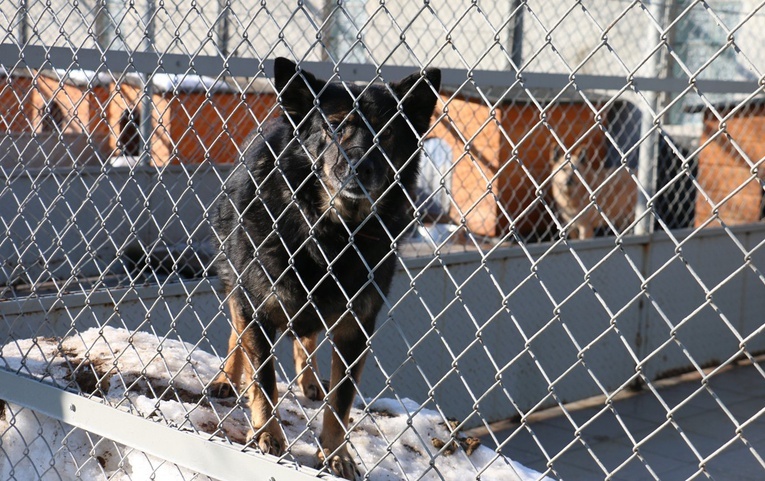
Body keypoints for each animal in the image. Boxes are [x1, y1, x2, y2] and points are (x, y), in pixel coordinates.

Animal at [209, 57, 438, 476]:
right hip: (237, 279)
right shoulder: (257, 304)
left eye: (387, 130)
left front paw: (336, 454)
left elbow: (341, 400)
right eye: (333, 125)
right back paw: (227, 378)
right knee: (238, 331)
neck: (333, 232)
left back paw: (310, 380)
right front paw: (267, 434)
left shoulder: (356, 326)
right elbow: (263, 378)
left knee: (307, 337)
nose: (360, 166)